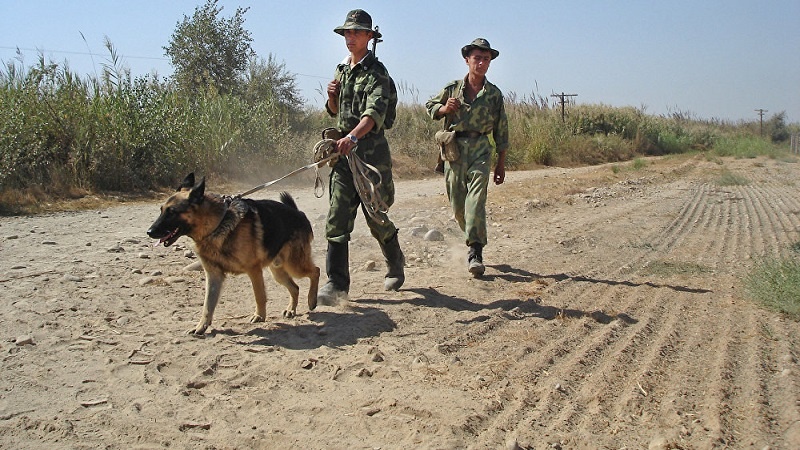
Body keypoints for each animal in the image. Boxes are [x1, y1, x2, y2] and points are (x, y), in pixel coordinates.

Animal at [145, 172, 320, 334]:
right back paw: (291, 309)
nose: (149, 232)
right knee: (295, 287)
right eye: (161, 210)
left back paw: (312, 300)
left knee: (315, 271)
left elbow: (259, 296)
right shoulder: (214, 275)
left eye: (172, 212)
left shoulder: (254, 271)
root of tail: (299, 213)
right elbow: (208, 305)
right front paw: (201, 326)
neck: (217, 223)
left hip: (294, 265)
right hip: (278, 271)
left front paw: (260, 316)